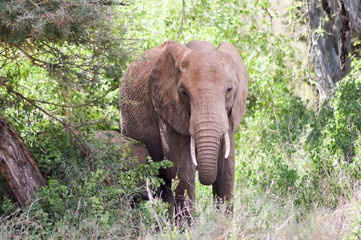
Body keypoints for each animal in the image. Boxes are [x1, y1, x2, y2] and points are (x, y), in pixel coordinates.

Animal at [118, 40, 248, 217]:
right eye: (183, 92)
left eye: (229, 90)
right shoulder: (167, 110)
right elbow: (183, 168)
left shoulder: (229, 115)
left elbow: (226, 171)